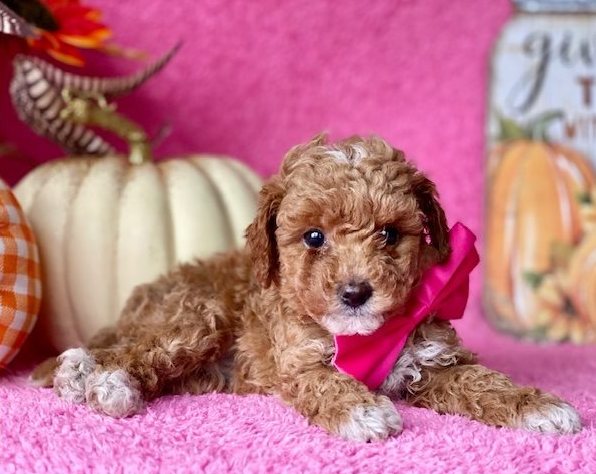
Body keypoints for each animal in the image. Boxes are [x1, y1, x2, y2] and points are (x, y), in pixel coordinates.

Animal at [31, 135, 581, 441]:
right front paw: (363, 411)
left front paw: (539, 407)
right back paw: (98, 378)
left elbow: (483, 382)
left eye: (390, 234)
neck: (367, 336)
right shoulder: (297, 358)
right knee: (135, 348)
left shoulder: (433, 361)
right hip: (197, 317)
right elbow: (326, 382)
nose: (356, 293)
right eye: (314, 237)